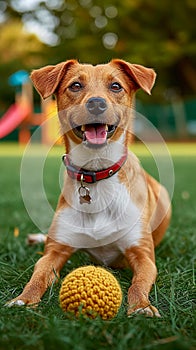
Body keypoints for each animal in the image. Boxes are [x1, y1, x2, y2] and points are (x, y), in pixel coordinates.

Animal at [7, 58, 171, 316]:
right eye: (75, 85)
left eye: (115, 86)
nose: (96, 103)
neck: (96, 173)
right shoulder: (55, 251)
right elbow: (39, 274)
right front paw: (23, 299)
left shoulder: (142, 254)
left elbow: (139, 282)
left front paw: (142, 306)